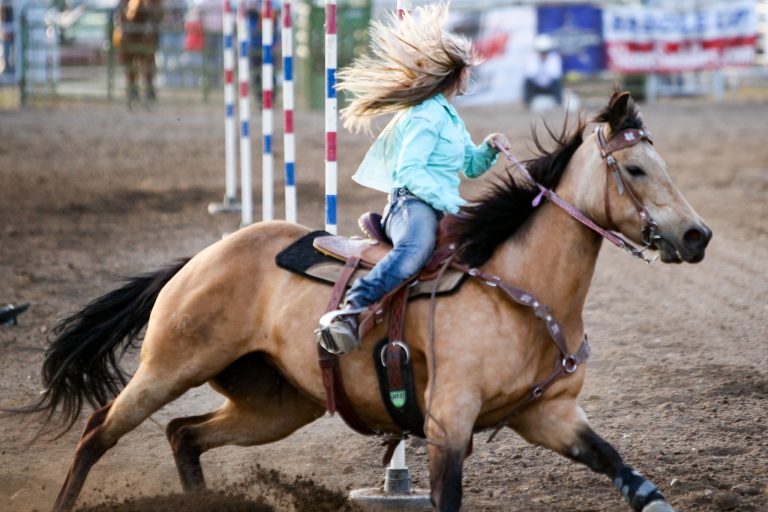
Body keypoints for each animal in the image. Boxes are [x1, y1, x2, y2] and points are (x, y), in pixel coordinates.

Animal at [5, 91, 711, 512]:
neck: (522, 286)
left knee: (185, 435)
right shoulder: (448, 422)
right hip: (168, 366)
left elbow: (624, 470)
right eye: (637, 169)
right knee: (99, 432)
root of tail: (203, 257)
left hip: (274, 403)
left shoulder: (550, 415)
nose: (696, 235)